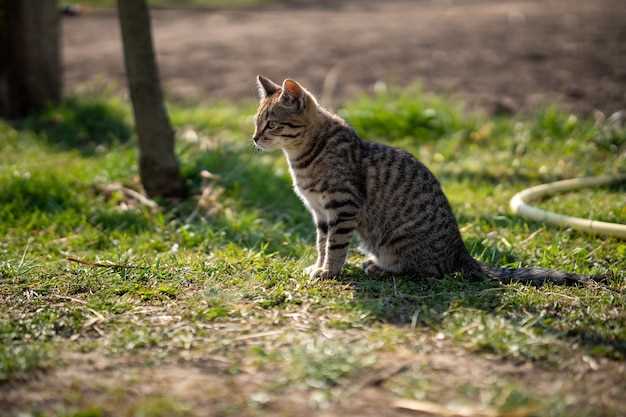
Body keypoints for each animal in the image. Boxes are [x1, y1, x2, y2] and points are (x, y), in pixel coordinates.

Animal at [252, 75, 600, 284]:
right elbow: (322, 243)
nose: (254, 139)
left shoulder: (342, 204)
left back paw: (381, 268)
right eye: (256, 123)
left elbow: (335, 245)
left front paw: (329, 272)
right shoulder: (320, 212)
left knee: (427, 271)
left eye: (271, 124)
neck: (303, 157)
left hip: (399, 240)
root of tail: (461, 251)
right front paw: (320, 266)